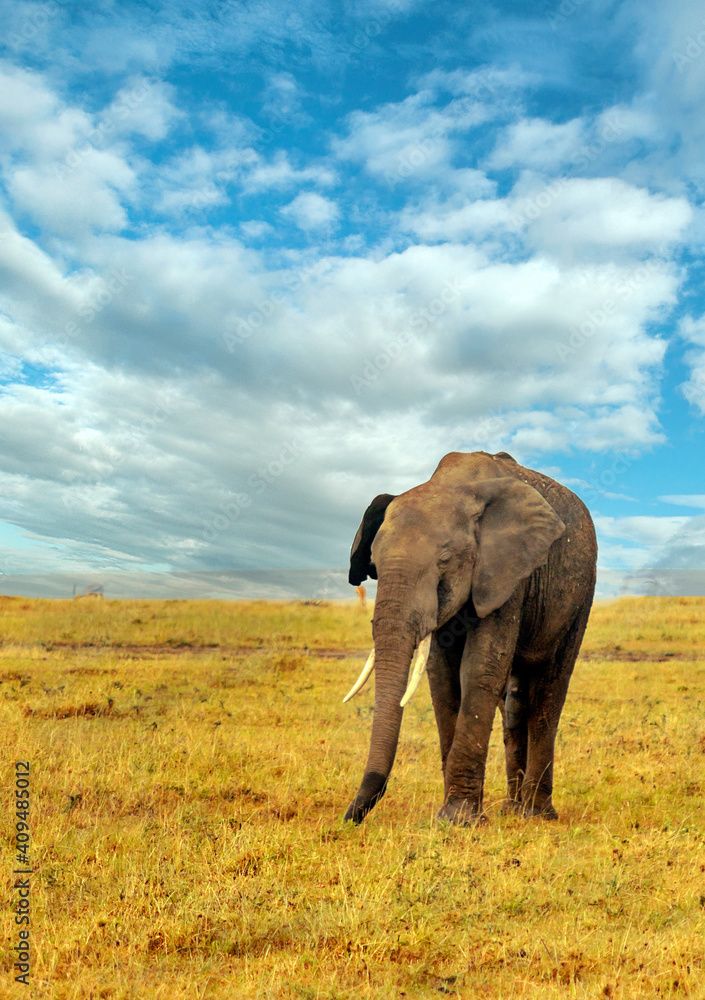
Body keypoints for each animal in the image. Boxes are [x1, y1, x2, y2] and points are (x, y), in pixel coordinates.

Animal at [343, 450, 597, 826]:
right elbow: (442, 679)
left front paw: (459, 820)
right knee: (516, 701)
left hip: (580, 593)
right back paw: (512, 809)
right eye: (374, 562)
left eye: (445, 559)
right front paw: (452, 816)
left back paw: (535, 815)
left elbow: (479, 668)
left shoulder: (507, 570)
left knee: (550, 691)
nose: (350, 817)